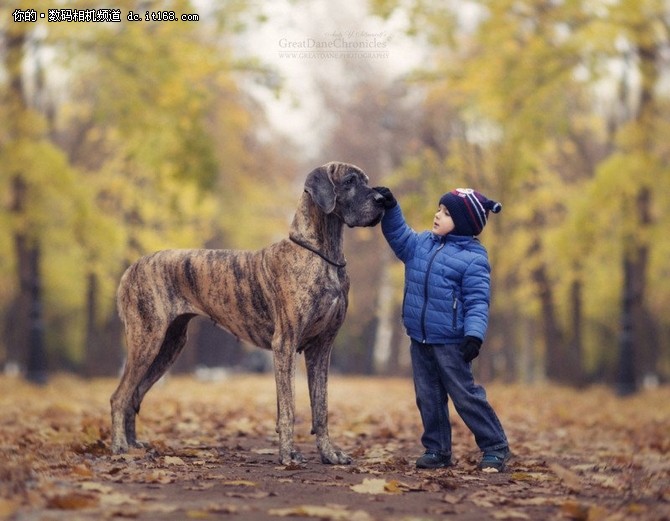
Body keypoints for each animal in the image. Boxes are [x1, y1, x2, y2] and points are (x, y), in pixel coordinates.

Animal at [109, 161, 384, 464]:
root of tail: (131, 268)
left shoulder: (321, 348)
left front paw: (329, 454)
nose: (383, 200)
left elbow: (321, 408)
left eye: (366, 180)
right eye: (349, 181)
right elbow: (288, 408)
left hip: (169, 346)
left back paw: (133, 444)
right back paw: (120, 447)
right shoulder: (285, 344)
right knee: (120, 397)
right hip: (147, 340)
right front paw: (287, 456)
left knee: (134, 394)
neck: (322, 255)